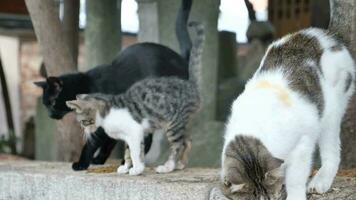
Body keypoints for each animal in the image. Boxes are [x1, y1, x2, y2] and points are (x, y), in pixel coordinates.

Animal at [34, 0, 193, 170]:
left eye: (51, 103)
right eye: (45, 104)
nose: (50, 115)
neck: (87, 84)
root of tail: (181, 60)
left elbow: (92, 143)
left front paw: (82, 163)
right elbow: (108, 142)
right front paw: (98, 160)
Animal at [66, 21, 203, 175]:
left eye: (83, 122)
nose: (86, 133)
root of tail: (190, 84)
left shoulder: (135, 131)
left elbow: (135, 152)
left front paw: (136, 169)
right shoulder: (130, 135)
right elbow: (129, 151)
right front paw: (126, 167)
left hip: (173, 124)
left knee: (178, 144)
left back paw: (168, 166)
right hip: (181, 123)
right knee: (188, 141)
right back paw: (180, 164)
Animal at [221, 27, 354, 200]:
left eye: (270, 197)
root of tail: (327, 35)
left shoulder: (303, 142)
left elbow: (295, 178)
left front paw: (294, 194)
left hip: (331, 112)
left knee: (332, 152)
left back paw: (320, 181)